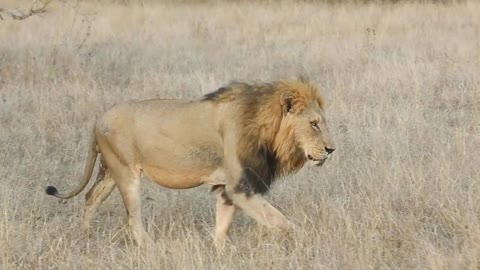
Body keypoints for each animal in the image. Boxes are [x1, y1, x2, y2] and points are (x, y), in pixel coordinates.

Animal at [47, 76, 336, 247]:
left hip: (108, 171)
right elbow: (278, 219)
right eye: (314, 124)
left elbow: (223, 225)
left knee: (90, 198)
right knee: (132, 219)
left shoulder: (226, 189)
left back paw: (84, 236)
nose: (331, 149)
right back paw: (150, 248)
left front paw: (219, 251)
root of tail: (98, 120)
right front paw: (303, 238)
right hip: (126, 173)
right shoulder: (240, 187)